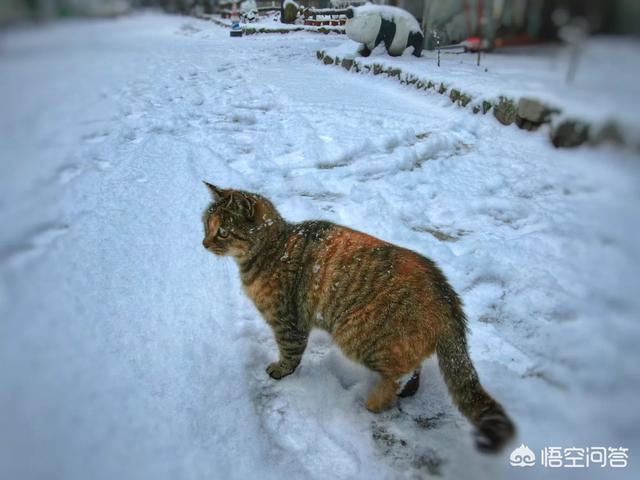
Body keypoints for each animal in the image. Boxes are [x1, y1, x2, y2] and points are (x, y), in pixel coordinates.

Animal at [200, 182, 516, 452]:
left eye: (223, 232)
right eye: (206, 224)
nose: (203, 243)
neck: (274, 247)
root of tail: (449, 299)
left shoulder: (288, 321)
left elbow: (290, 352)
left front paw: (280, 371)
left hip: (355, 335)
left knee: (397, 375)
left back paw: (376, 402)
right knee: (414, 367)